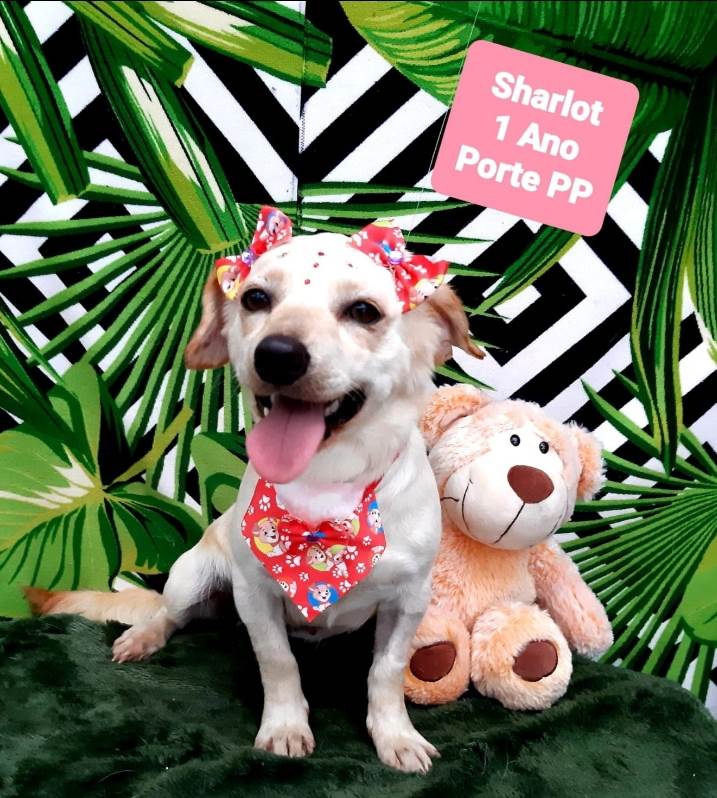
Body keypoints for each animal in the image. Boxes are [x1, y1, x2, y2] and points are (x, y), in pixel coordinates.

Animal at [26, 211, 482, 773]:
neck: (324, 484)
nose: (277, 355)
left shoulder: (408, 600)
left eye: (363, 311)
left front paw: (395, 735)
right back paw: (143, 636)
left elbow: (387, 671)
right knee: (168, 613)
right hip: (190, 577)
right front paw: (285, 727)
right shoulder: (256, 594)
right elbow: (278, 661)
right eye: (256, 299)